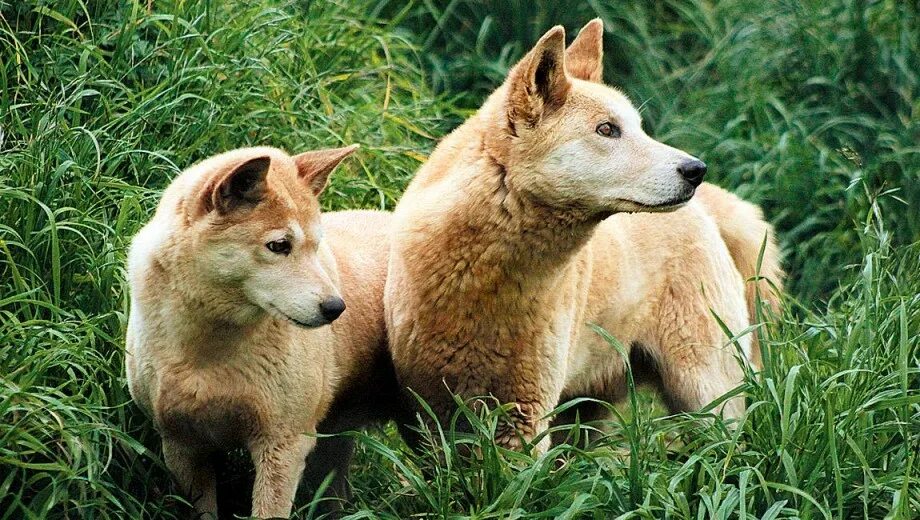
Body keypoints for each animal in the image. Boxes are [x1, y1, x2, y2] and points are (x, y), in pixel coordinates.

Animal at [124, 144, 362, 516]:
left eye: (315, 246)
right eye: (279, 246)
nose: (336, 307)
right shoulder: (180, 443)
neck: (209, 353)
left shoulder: (283, 444)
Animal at [384, 20, 780, 450]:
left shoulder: (525, 410)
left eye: (639, 128)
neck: (484, 284)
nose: (695, 169)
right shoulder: (429, 409)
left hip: (707, 395)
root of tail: (709, 207)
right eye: (607, 129)